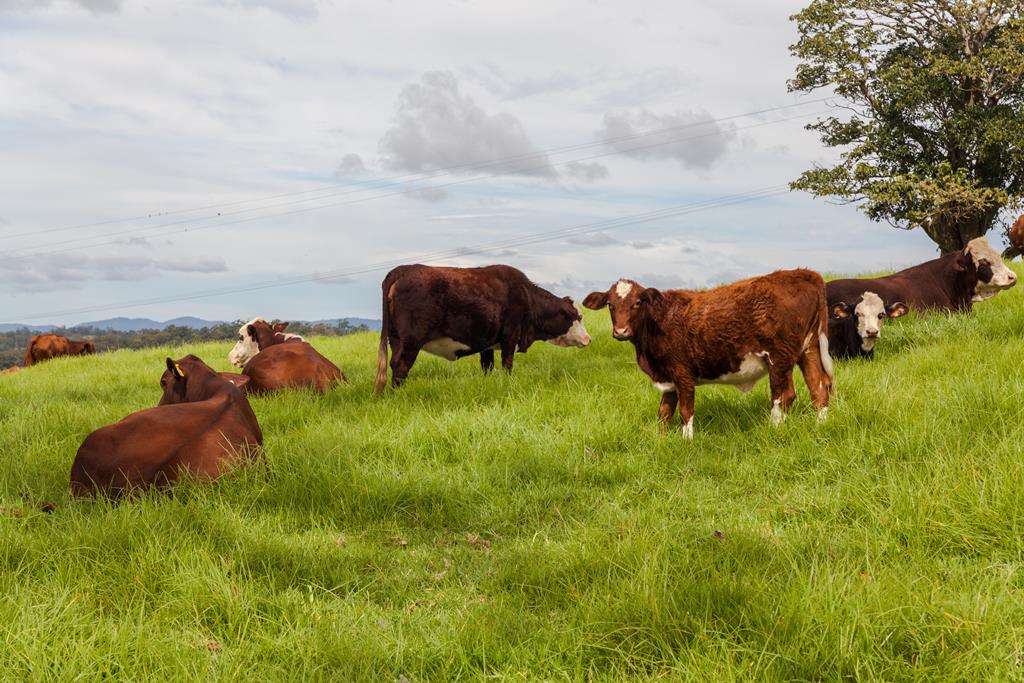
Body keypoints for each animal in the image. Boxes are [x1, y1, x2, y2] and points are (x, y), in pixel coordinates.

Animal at [374, 264, 592, 392]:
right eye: (579, 317)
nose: (588, 339)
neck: (527, 296)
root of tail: (401, 269)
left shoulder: (487, 345)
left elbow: (487, 367)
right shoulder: (510, 337)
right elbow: (507, 365)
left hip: (396, 339)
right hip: (411, 342)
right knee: (401, 366)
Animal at [583, 269, 833, 438]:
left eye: (637, 302)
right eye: (610, 305)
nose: (621, 331)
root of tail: (804, 273)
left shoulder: (683, 374)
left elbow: (685, 411)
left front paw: (687, 441)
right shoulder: (668, 377)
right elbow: (664, 411)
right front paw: (662, 440)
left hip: (779, 358)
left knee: (784, 395)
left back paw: (776, 429)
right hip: (808, 350)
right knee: (818, 389)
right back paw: (819, 427)